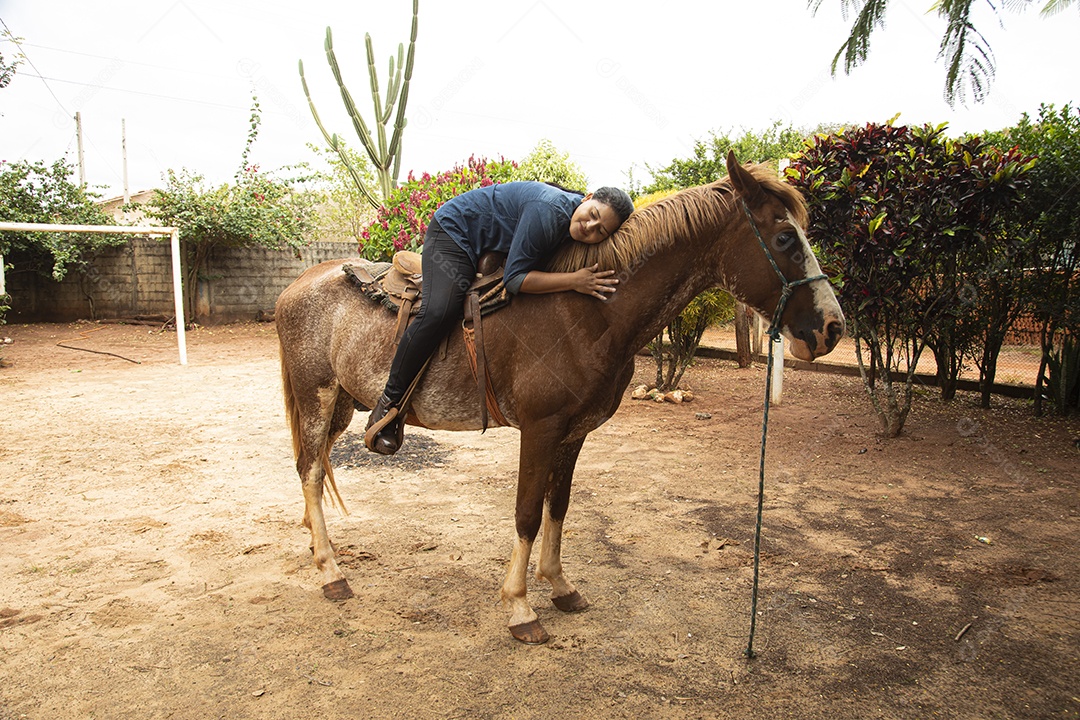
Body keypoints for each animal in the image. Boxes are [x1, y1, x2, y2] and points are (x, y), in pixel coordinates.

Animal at [275, 151, 845, 644]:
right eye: (785, 236)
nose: (832, 329)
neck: (587, 312)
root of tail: (298, 284)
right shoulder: (541, 428)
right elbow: (527, 511)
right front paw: (520, 606)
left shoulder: (574, 432)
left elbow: (559, 505)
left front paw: (559, 585)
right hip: (316, 396)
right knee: (309, 471)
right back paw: (330, 572)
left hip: (341, 404)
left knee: (316, 468)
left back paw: (318, 546)